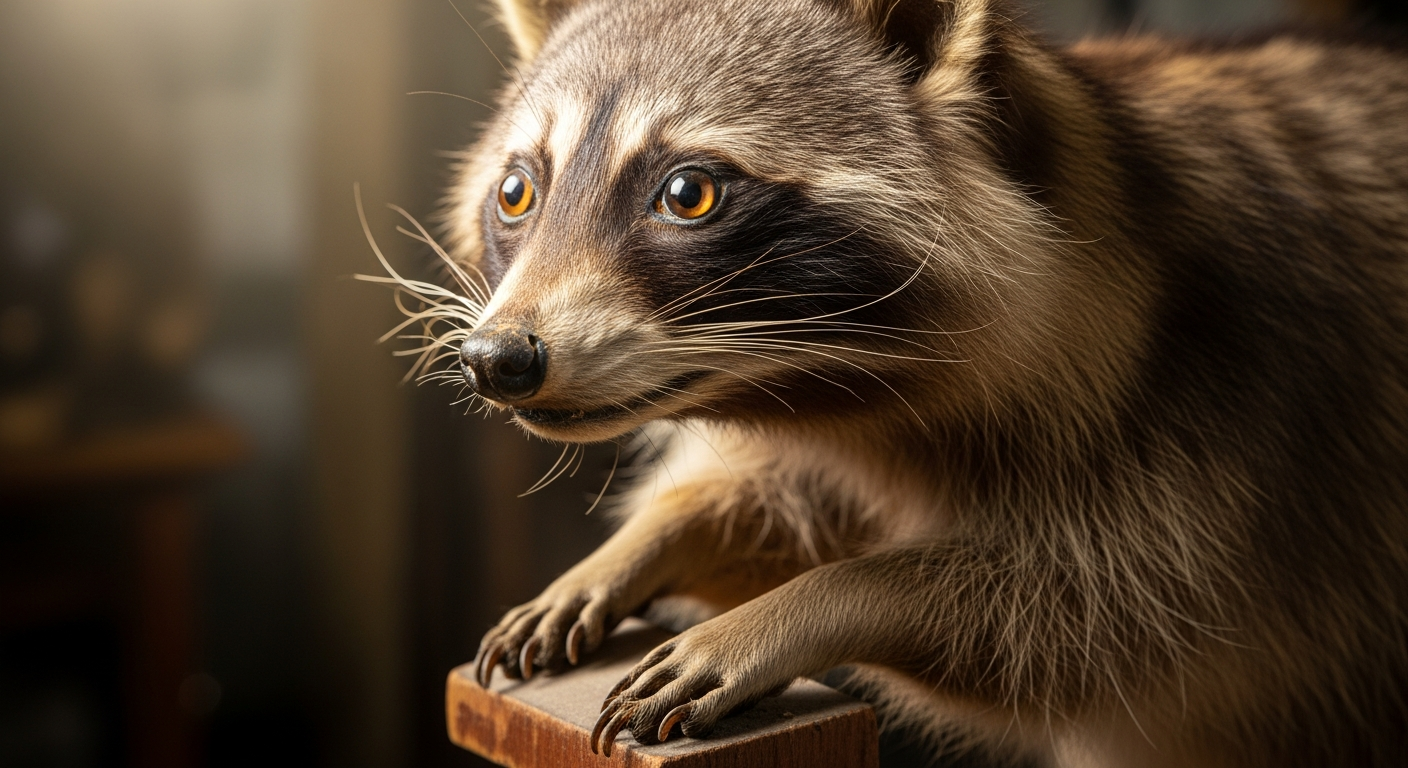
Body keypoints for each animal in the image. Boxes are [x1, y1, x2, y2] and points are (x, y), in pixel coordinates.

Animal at [417, 0, 1408, 765]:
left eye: (688, 192)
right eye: (517, 192)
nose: (498, 359)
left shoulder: (1222, 408)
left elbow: (1099, 626)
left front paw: (814, 604)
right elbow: (784, 503)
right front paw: (643, 542)